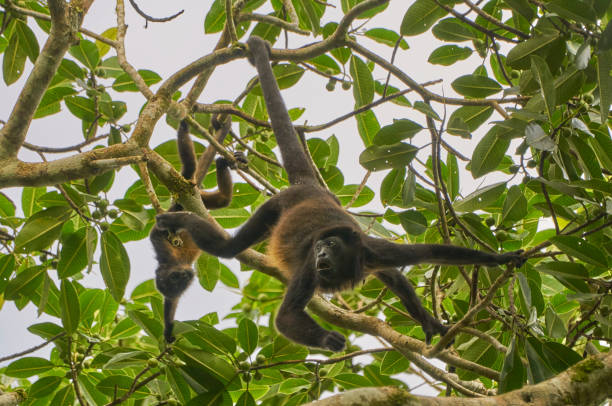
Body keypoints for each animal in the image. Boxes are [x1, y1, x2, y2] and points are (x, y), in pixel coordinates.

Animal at [152, 120, 245, 342]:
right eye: (176, 284)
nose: (185, 276)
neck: (172, 263)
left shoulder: (167, 253)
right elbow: (171, 303)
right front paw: (168, 330)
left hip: (192, 193)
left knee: (188, 174)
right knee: (222, 200)